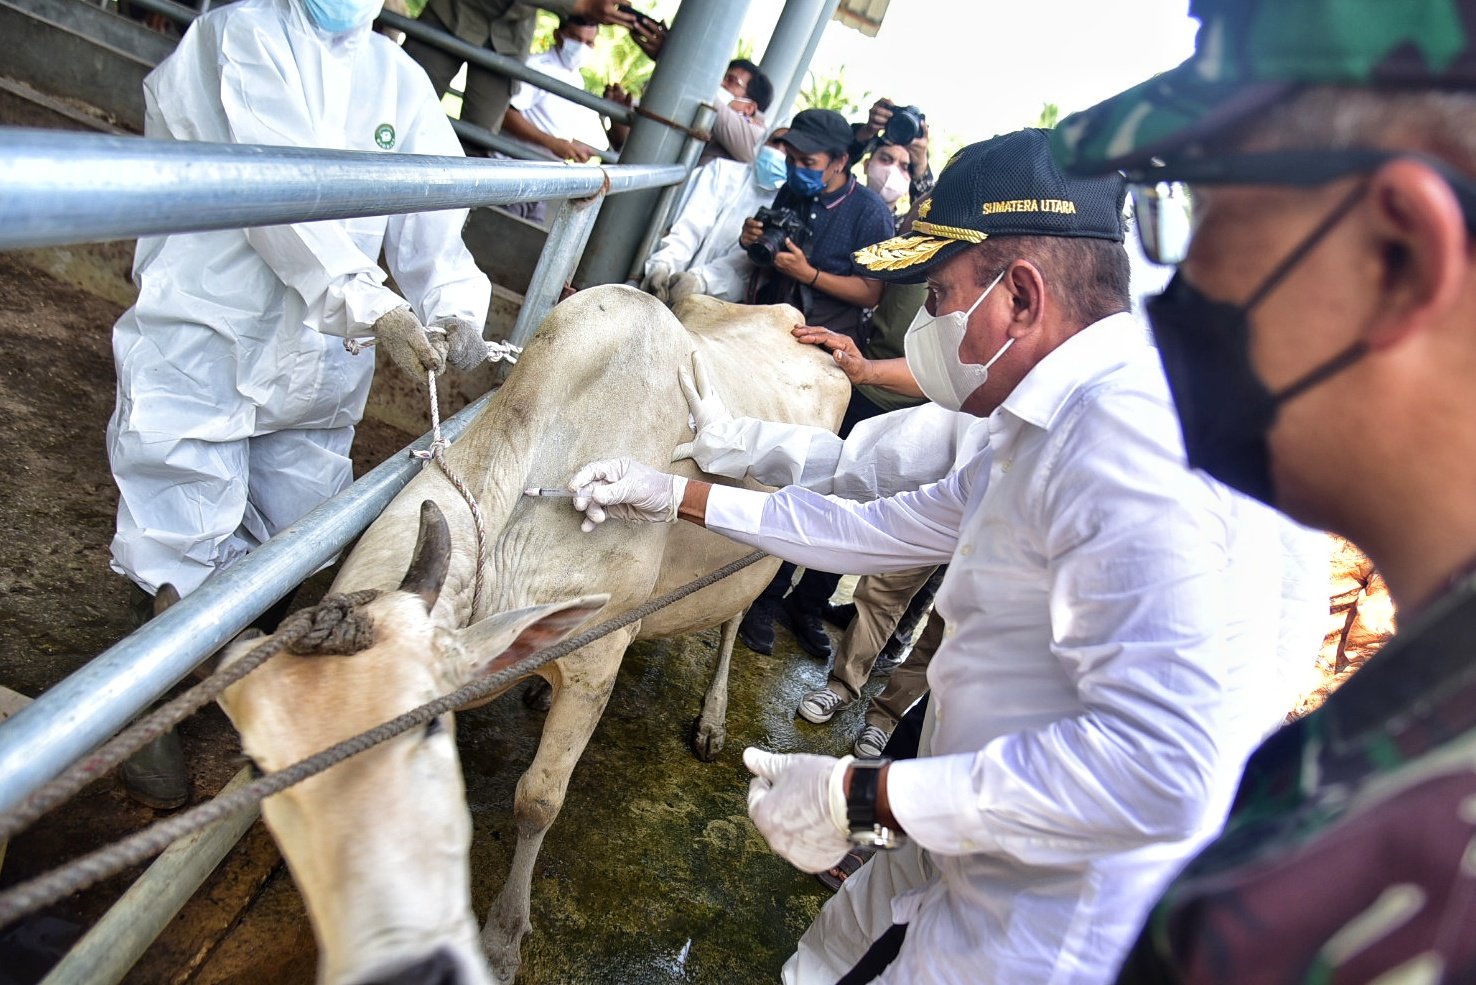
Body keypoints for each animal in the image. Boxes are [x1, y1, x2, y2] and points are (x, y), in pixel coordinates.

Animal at [214, 289, 850, 985]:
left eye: (423, 734)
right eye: (261, 767)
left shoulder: (597, 662)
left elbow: (538, 801)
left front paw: (502, 936)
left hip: (764, 563)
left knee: (734, 622)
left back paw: (712, 717)